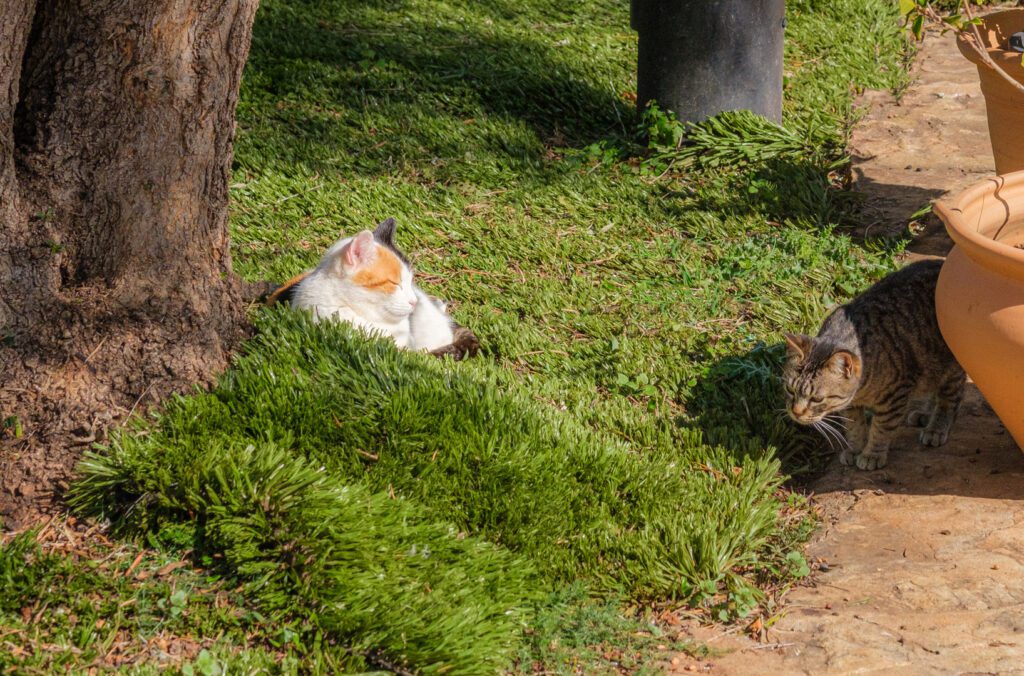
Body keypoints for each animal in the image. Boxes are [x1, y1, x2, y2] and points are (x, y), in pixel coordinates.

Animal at [778, 259, 962, 469]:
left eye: (817, 399)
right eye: (790, 390)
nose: (796, 412)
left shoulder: (894, 397)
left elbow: (881, 428)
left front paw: (872, 454)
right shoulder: (850, 405)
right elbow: (855, 427)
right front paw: (855, 449)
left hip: (950, 368)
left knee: (951, 398)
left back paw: (936, 426)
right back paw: (924, 414)